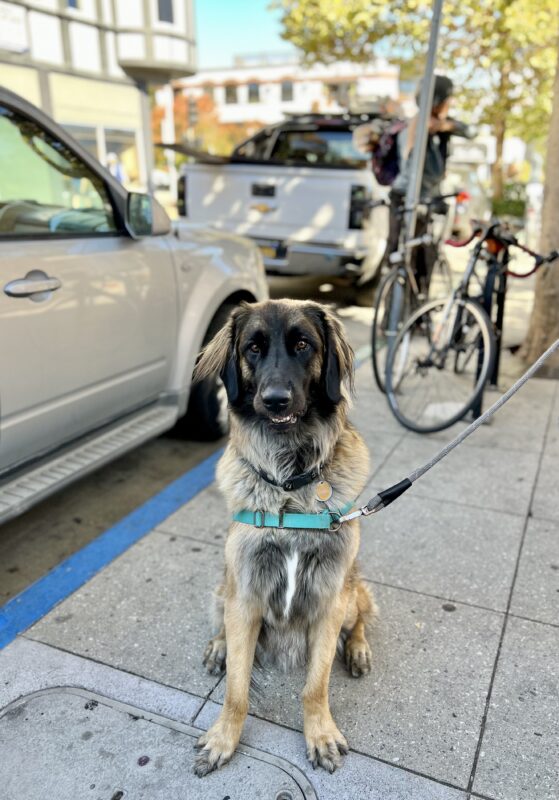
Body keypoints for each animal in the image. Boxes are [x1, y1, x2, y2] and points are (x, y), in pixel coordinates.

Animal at [194, 298, 376, 776]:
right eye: (253, 348)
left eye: (302, 345)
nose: (275, 400)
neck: (290, 485)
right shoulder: (245, 595)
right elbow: (236, 690)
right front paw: (224, 737)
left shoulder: (331, 597)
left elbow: (315, 685)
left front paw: (320, 734)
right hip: (222, 588)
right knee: (220, 623)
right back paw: (219, 647)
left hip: (351, 592)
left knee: (361, 618)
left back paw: (358, 649)